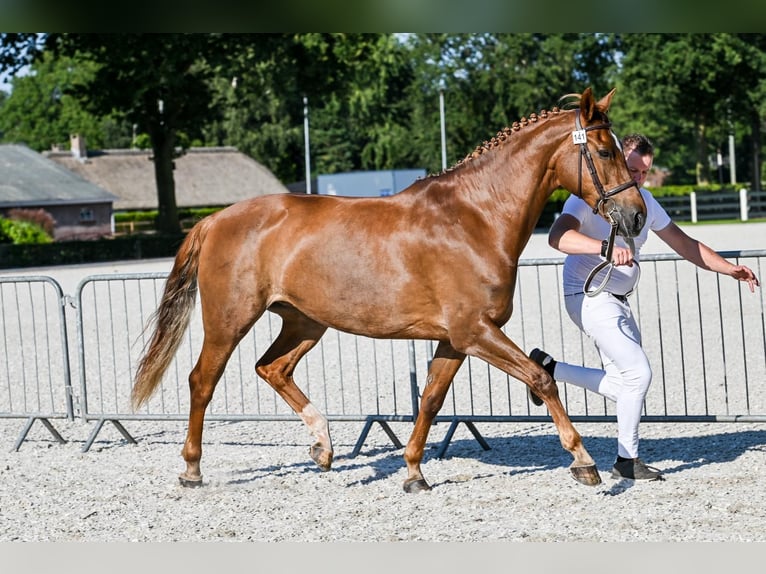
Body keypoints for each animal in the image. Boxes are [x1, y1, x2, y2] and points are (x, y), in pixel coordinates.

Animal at [132, 88, 648, 492]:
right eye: (604, 152)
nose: (637, 216)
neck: (476, 218)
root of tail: (215, 219)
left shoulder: (455, 339)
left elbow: (432, 400)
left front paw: (414, 472)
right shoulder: (476, 331)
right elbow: (540, 379)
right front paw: (583, 462)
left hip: (305, 322)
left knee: (272, 367)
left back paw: (323, 446)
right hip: (229, 320)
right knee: (203, 381)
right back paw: (192, 470)